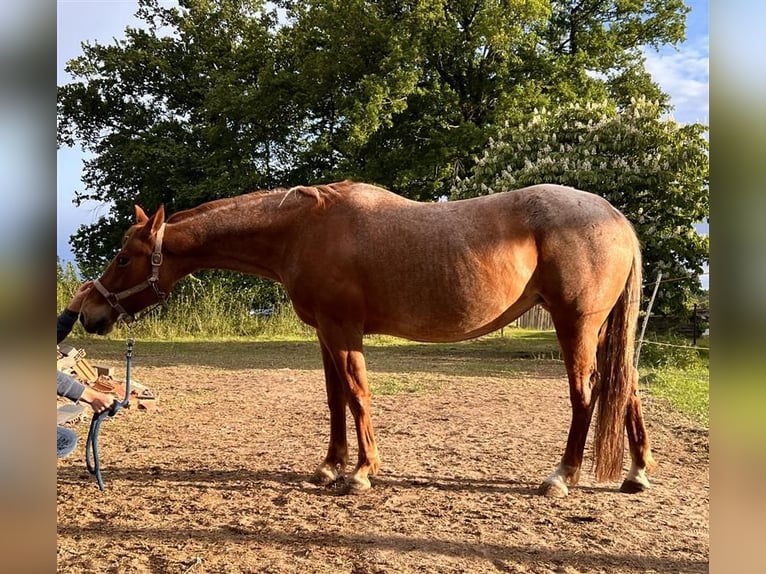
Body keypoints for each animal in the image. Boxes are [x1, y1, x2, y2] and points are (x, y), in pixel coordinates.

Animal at [79, 180, 656, 496]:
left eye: (124, 257)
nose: (87, 312)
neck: (302, 229)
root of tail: (615, 216)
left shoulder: (344, 330)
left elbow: (357, 396)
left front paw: (360, 472)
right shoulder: (325, 334)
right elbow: (335, 399)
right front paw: (330, 465)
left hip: (576, 324)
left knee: (587, 393)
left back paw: (562, 476)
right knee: (626, 387)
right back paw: (637, 474)